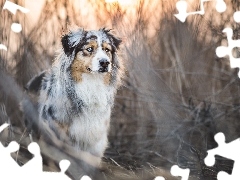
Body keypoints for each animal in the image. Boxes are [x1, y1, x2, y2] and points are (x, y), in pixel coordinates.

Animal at [25, 27, 124, 162]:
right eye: (89, 49)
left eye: (107, 50)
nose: (105, 62)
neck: (91, 84)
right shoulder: (55, 126)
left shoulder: (95, 137)